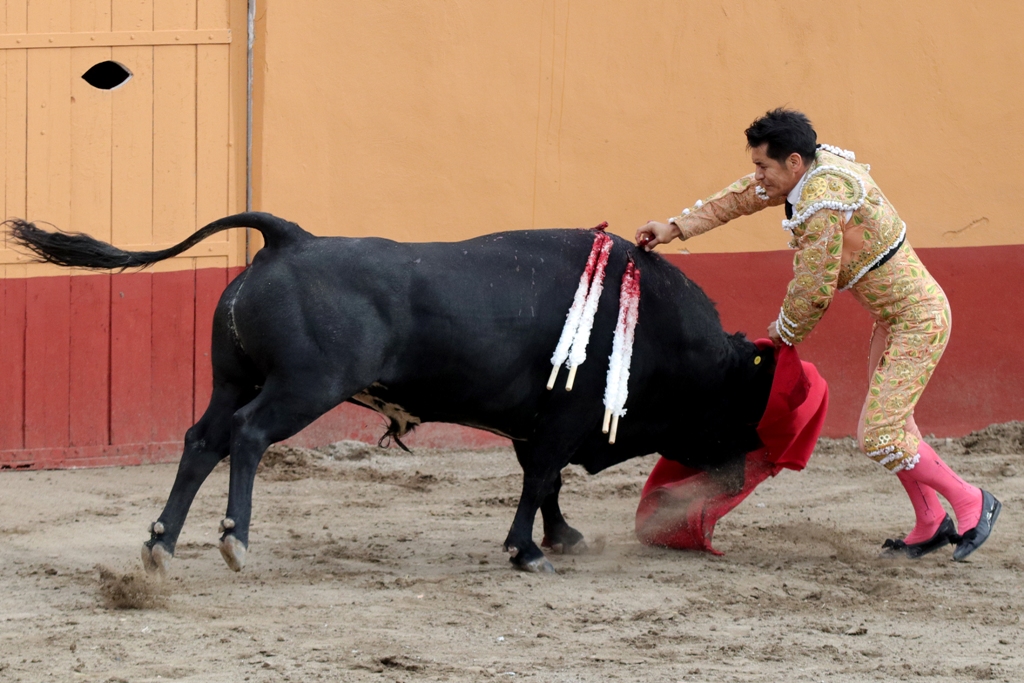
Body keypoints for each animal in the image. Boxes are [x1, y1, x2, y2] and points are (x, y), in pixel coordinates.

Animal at [9, 211, 774, 573]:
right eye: (741, 403)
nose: (739, 471)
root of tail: (290, 238)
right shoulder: (566, 414)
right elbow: (541, 477)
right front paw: (528, 550)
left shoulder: (537, 420)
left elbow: (544, 480)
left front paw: (559, 537)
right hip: (304, 387)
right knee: (248, 437)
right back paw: (235, 538)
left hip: (232, 378)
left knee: (203, 440)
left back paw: (162, 545)